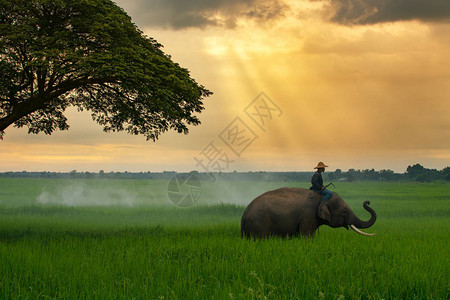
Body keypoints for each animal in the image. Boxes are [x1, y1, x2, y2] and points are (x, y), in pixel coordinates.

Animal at [243, 188, 376, 239]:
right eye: (344, 211)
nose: (367, 202)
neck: (322, 197)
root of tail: (244, 214)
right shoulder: (308, 216)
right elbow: (307, 236)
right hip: (259, 225)